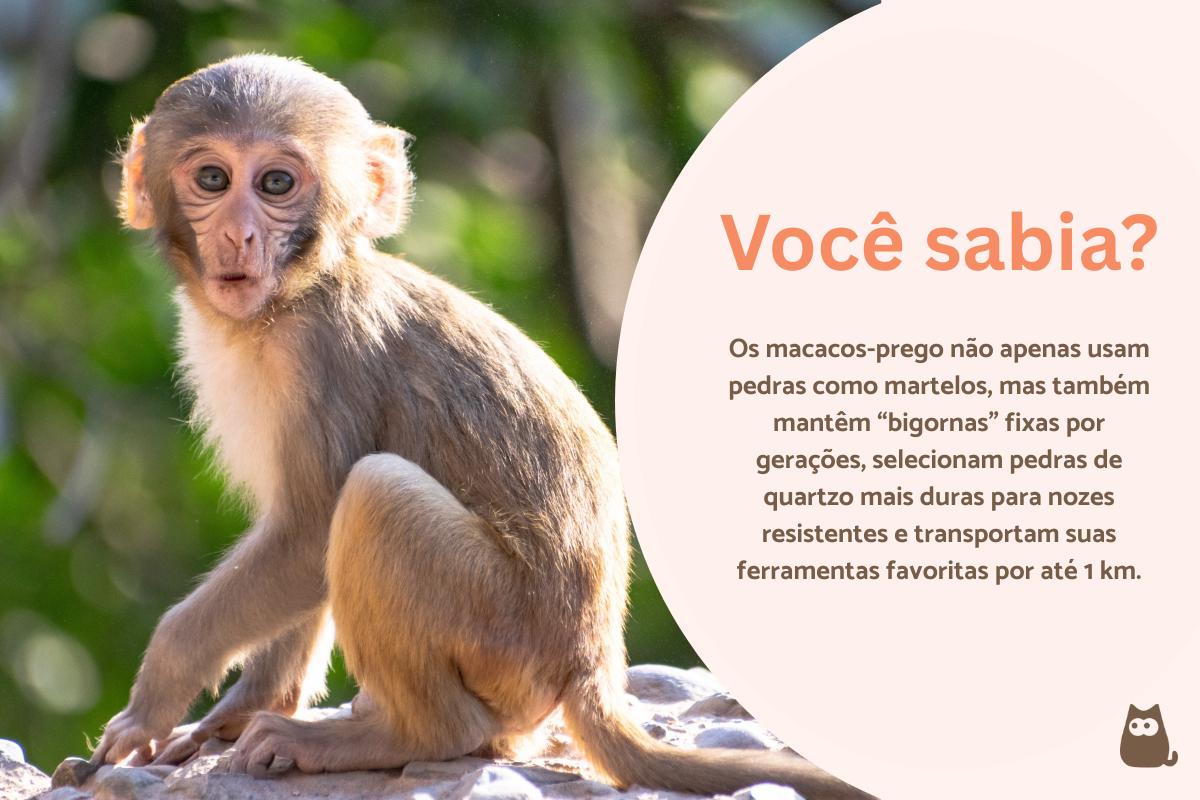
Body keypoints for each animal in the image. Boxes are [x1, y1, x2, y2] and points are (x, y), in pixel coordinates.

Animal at [88, 55, 875, 800]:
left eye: (277, 183)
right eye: (213, 178)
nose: (238, 232)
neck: (295, 295)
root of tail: (590, 662)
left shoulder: (323, 355)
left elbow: (308, 532)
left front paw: (155, 694)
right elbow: (294, 544)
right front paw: (238, 711)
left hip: (503, 632)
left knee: (375, 495)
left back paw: (401, 736)